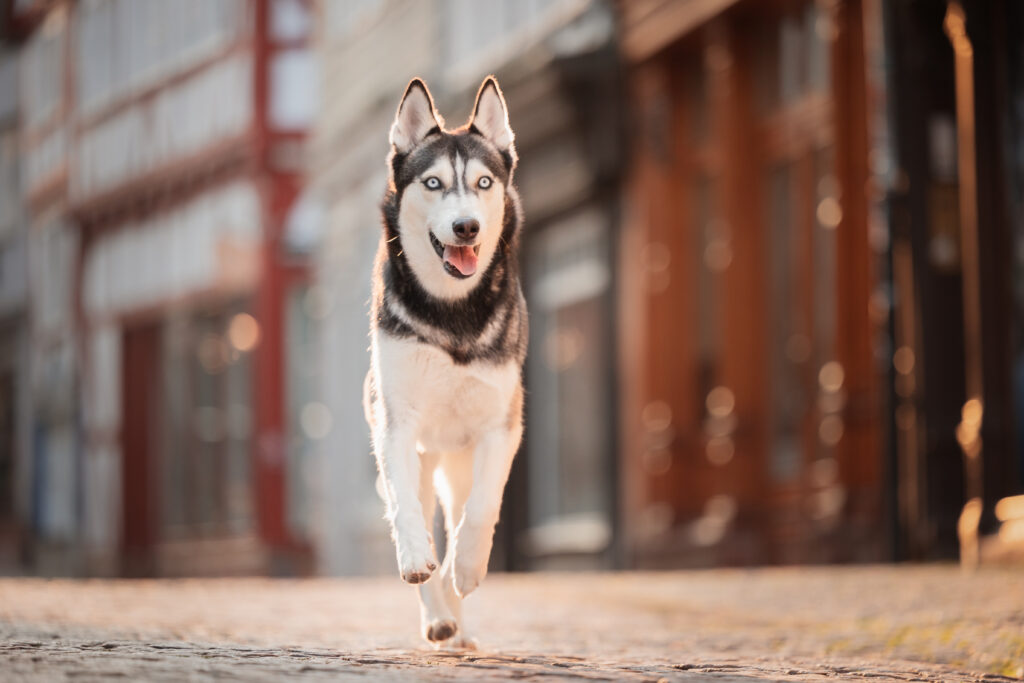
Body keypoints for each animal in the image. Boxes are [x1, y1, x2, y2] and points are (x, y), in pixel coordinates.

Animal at [364, 77, 528, 651]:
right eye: (433, 182)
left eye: (483, 182)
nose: (466, 227)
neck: (453, 312)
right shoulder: (396, 425)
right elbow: (405, 509)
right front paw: (419, 559)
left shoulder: (502, 426)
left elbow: (481, 509)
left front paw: (469, 568)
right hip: (423, 453)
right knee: (415, 505)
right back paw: (439, 617)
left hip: (459, 461)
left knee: (460, 509)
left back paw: (458, 612)